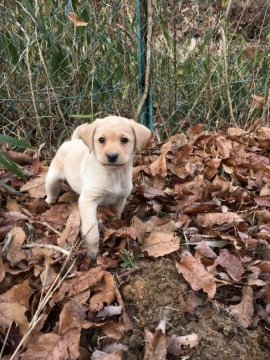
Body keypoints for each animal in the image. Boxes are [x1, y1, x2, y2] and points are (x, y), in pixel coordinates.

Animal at [45, 116, 151, 258]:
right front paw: (92, 251)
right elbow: (92, 231)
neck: (113, 174)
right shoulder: (88, 201)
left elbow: (115, 215)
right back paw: (50, 201)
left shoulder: (120, 199)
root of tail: (73, 141)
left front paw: (114, 224)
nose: (112, 156)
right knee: (51, 189)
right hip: (53, 176)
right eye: (101, 140)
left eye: (124, 140)